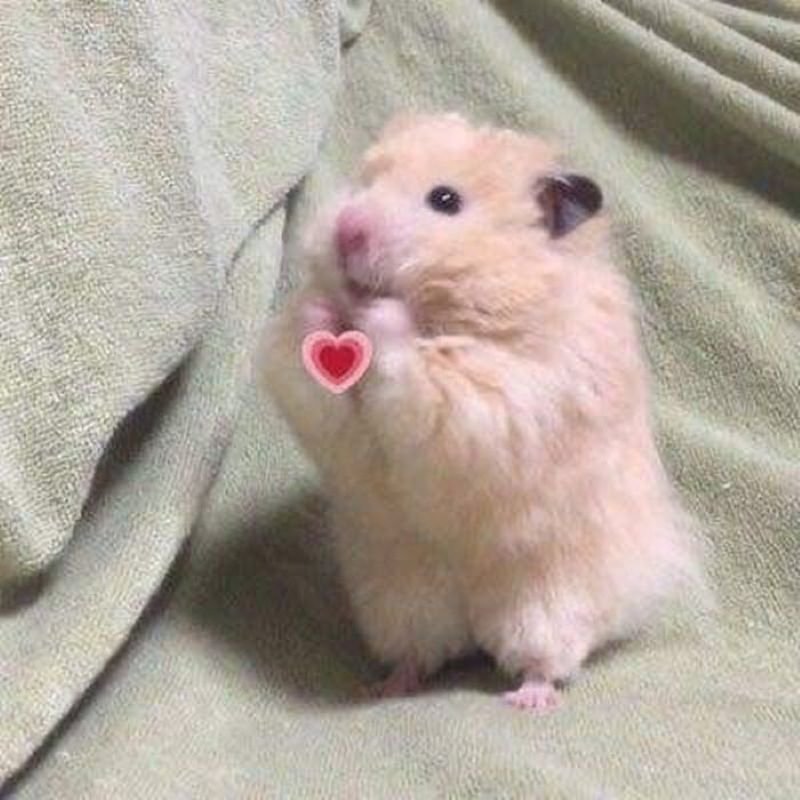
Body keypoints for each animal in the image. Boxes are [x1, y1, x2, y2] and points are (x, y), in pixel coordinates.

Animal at [260, 113, 707, 710]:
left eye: (445, 200)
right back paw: (385, 686)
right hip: (400, 595)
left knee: (545, 658)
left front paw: (381, 314)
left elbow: (423, 369)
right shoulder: (315, 402)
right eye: (364, 181)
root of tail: (471, 620)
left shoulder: (503, 399)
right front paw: (320, 310)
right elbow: (310, 369)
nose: (347, 229)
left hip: (546, 599)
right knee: (419, 652)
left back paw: (529, 699)